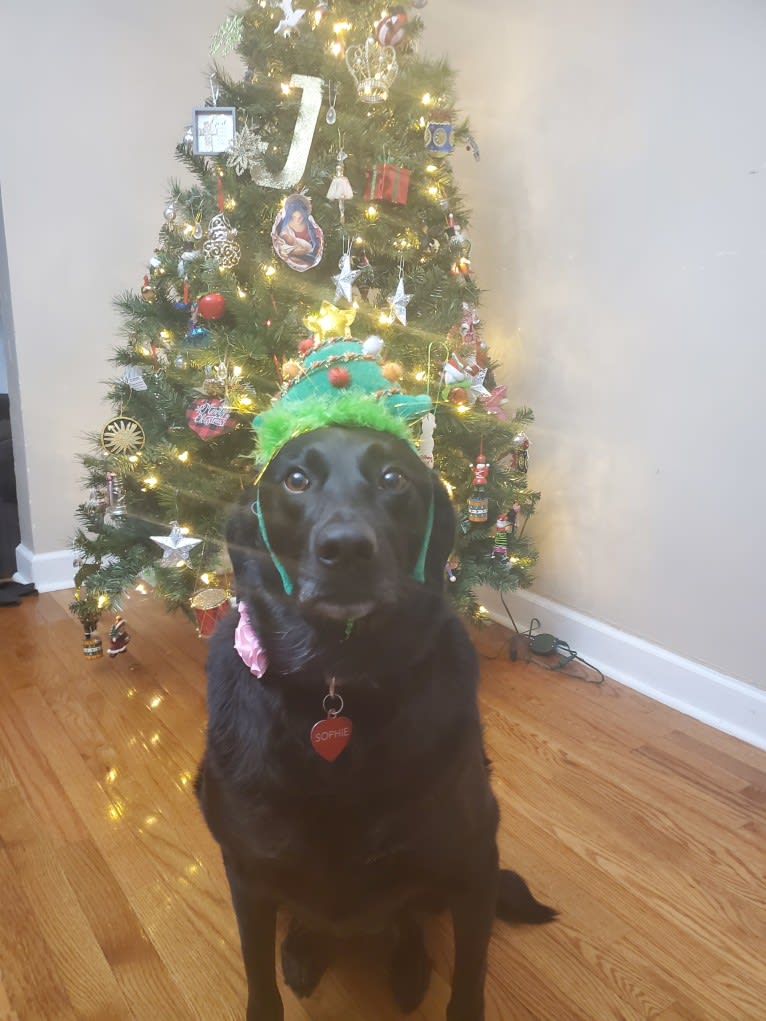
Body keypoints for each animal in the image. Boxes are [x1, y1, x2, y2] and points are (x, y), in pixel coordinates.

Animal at [196, 426, 559, 1016]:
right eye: (295, 479)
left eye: (394, 478)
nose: (345, 549)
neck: (338, 681)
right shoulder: (249, 870)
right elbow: (260, 985)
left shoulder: (474, 862)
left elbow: (469, 983)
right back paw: (305, 949)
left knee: (406, 917)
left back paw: (409, 968)